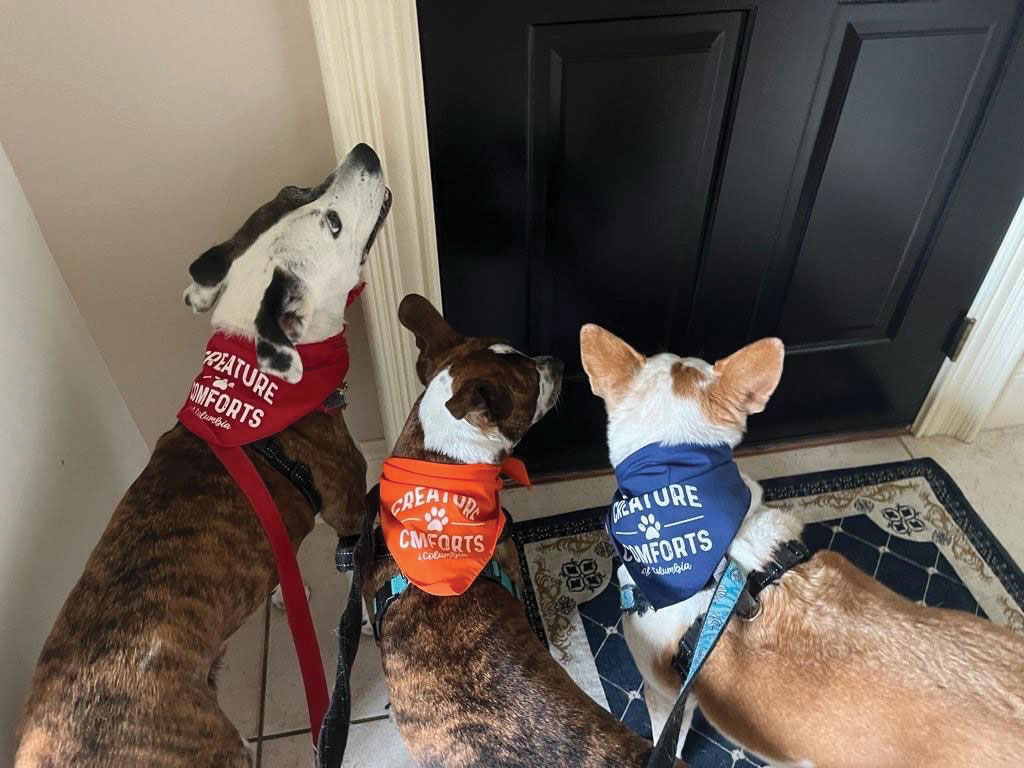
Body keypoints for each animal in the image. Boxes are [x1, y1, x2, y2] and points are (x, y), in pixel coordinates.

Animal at [16, 145, 391, 768]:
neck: (258, 381)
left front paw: (287, 593)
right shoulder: (347, 503)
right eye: (334, 225)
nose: (362, 151)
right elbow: (356, 567)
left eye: (295, 189)